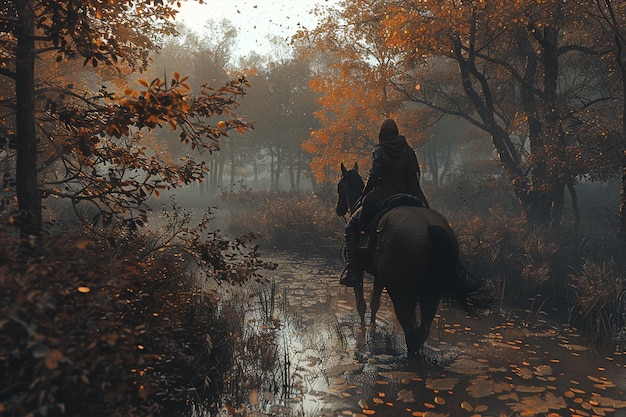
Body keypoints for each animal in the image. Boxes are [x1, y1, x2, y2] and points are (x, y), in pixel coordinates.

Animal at [336, 162, 492, 358]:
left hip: (402, 292)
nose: (339, 209)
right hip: (432, 292)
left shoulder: (361, 271)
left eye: (339, 186)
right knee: (422, 330)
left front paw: (365, 329)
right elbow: (375, 303)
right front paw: (372, 326)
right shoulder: (380, 276)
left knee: (410, 331)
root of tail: (430, 227)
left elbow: (361, 304)